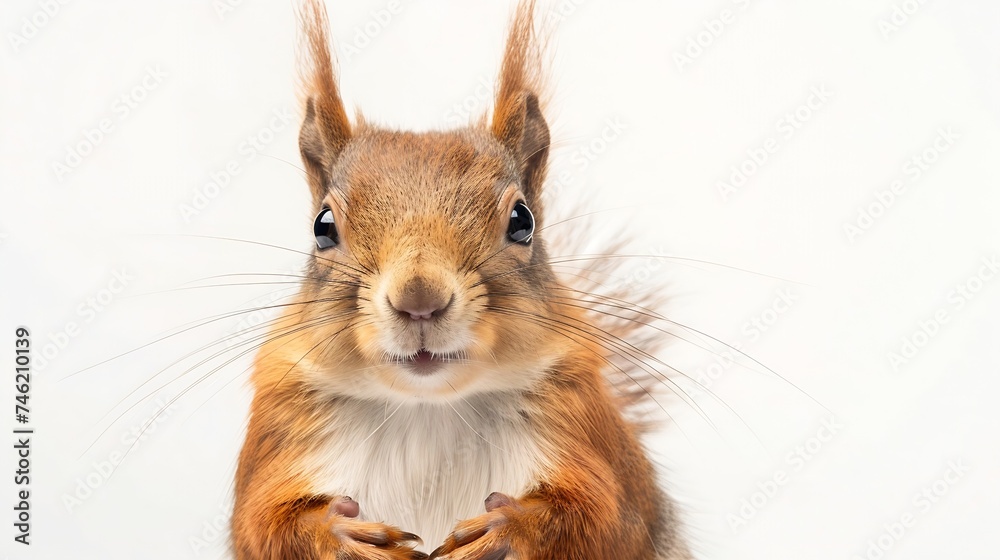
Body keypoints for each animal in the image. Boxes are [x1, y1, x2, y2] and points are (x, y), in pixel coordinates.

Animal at [231, 1, 693, 558]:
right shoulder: (281, 433)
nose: (419, 300)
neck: (426, 406)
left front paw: (508, 526)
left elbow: (601, 518)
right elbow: (264, 525)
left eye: (522, 220)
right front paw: (341, 534)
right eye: (323, 227)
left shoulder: (589, 434)